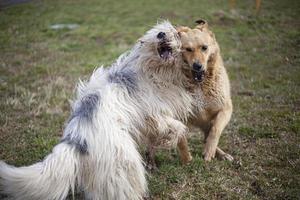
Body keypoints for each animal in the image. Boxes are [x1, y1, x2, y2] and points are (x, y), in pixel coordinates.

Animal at [0, 21, 193, 199]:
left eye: (176, 34)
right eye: (162, 31)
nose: (161, 34)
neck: (155, 69)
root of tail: (76, 138)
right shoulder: (153, 114)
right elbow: (176, 126)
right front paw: (169, 140)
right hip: (123, 164)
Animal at [177, 19, 233, 162]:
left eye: (204, 47)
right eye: (188, 49)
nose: (197, 66)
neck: (200, 85)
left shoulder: (225, 109)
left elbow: (215, 130)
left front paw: (209, 151)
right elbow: (181, 139)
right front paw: (186, 158)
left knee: (207, 135)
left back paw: (222, 154)